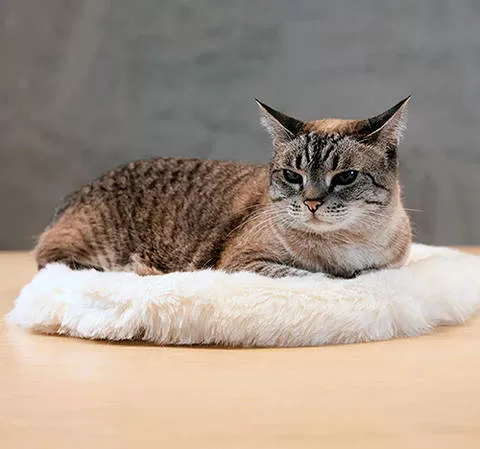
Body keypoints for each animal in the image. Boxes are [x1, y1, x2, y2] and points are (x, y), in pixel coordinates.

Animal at [36, 96, 412, 276]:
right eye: (293, 175)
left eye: (345, 177)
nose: (312, 202)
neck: (346, 246)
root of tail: (81, 189)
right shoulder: (244, 264)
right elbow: (315, 278)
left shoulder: (388, 267)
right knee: (53, 259)